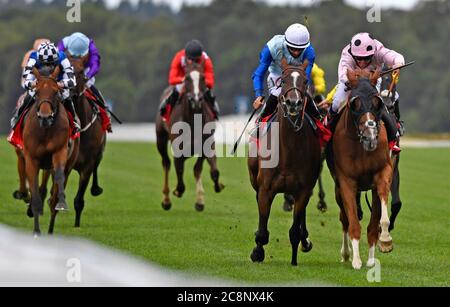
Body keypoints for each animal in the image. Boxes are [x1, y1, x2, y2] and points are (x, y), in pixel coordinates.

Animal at [23, 67, 80, 236]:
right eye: (37, 92)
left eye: (56, 92)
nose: (45, 117)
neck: (45, 131)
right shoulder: (31, 159)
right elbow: (35, 192)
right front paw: (36, 231)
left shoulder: (59, 152)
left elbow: (59, 178)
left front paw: (61, 203)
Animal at [156, 61, 224, 213]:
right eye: (186, 78)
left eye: (203, 78)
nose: (196, 99)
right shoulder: (178, 147)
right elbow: (179, 169)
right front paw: (178, 191)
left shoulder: (206, 144)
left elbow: (206, 170)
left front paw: (203, 198)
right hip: (160, 138)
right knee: (166, 163)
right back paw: (166, 200)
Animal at [248, 59, 322, 266]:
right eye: (283, 80)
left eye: (305, 81)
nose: (293, 103)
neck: (288, 150)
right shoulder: (266, 189)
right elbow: (262, 230)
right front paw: (257, 252)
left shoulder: (303, 189)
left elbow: (295, 230)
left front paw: (295, 259)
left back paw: (305, 240)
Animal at [326, 67, 394, 270]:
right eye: (354, 103)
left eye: (377, 102)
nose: (370, 136)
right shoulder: (346, 180)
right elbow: (353, 222)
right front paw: (356, 260)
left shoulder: (382, 172)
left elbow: (378, 219)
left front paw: (384, 242)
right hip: (337, 188)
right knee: (344, 218)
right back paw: (347, 253)